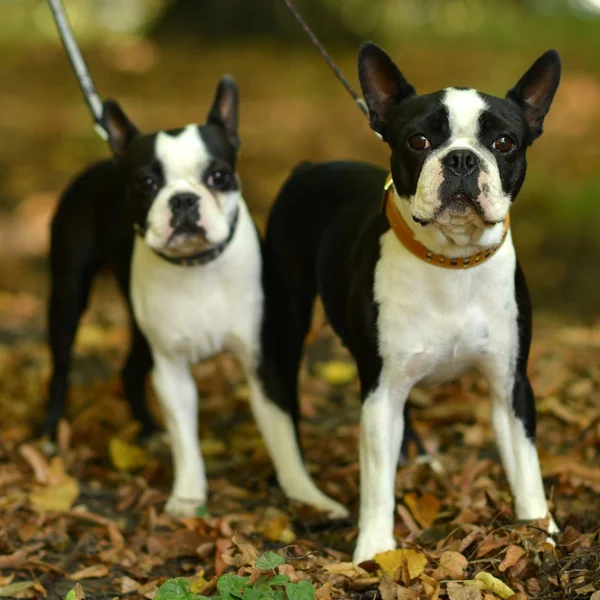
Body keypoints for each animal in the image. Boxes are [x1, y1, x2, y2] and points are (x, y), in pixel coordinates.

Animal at [44, 77, 346, 516]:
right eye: (146, 183)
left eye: (219, 176)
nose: (183, 199)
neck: (197, 267)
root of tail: (101, 164)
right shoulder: (172, 370)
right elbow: (186, 439)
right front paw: (187, 497)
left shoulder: (262, 363)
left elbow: (283, 435)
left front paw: (308, 497)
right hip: (68, 295)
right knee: (61, 367)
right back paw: (52, 434)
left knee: (129, 369)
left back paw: (150, 430)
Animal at [262, 45, 564, 564]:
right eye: (418, 140)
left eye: (504, 143)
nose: (462, 158)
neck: (451, 262)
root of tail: (308, 167)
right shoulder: (381, 391)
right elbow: (377, 480)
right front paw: (374, 551)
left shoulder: (511, 387)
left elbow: (526, 466)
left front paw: (539, 533)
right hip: (288, 318)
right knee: (282, 405)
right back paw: (306, 492)